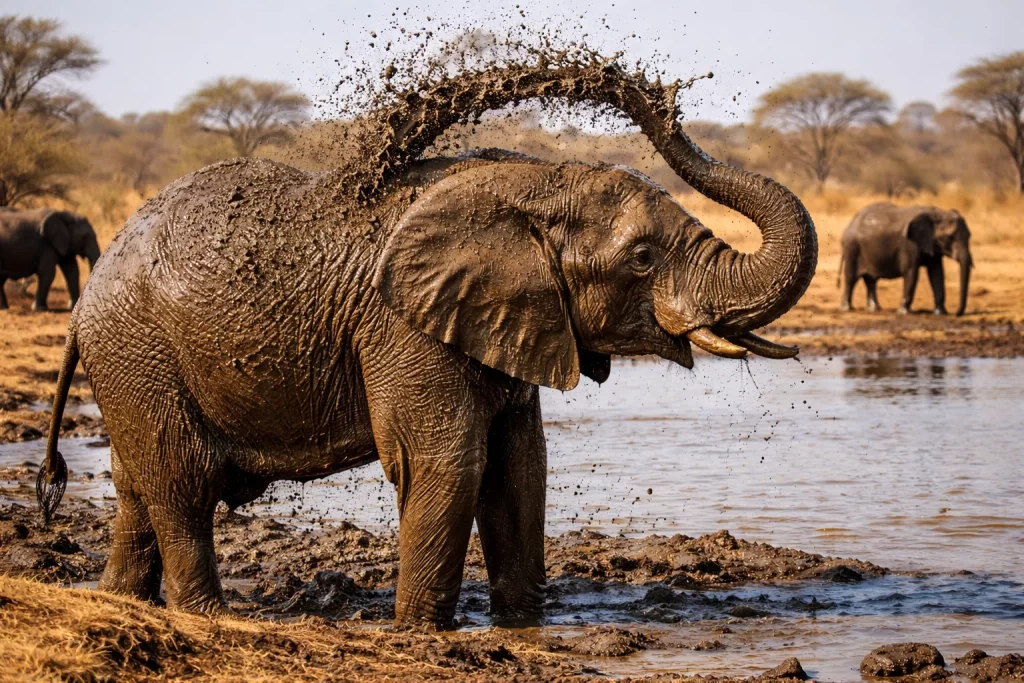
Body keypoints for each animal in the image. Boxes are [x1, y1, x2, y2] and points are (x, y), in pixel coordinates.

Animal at [37, 62, 817, 627]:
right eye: (643, 259)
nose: (662, 98)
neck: (530, 183)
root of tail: (86, 304)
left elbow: (519, 466)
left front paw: (523, 624)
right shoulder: (402, 324)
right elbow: (446, 460)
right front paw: (419, 633)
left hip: (134, 365)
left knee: (138, 488)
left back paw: (117, 601)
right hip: (140, 353)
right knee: (181, 483)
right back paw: (210, 618)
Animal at [839, 202, 973, 316]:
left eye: (969, 236)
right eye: (950, 237)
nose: (957, 313)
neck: (935, 213)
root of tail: (850, 224)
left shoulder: (932, 245)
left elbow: (937, 273)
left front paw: (940, 313)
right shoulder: (909, 244)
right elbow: (911, 272)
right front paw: (903, 313)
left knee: (870, 280)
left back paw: (874, 309)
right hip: (852, 247)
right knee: (851, 278)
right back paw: (846, 309)